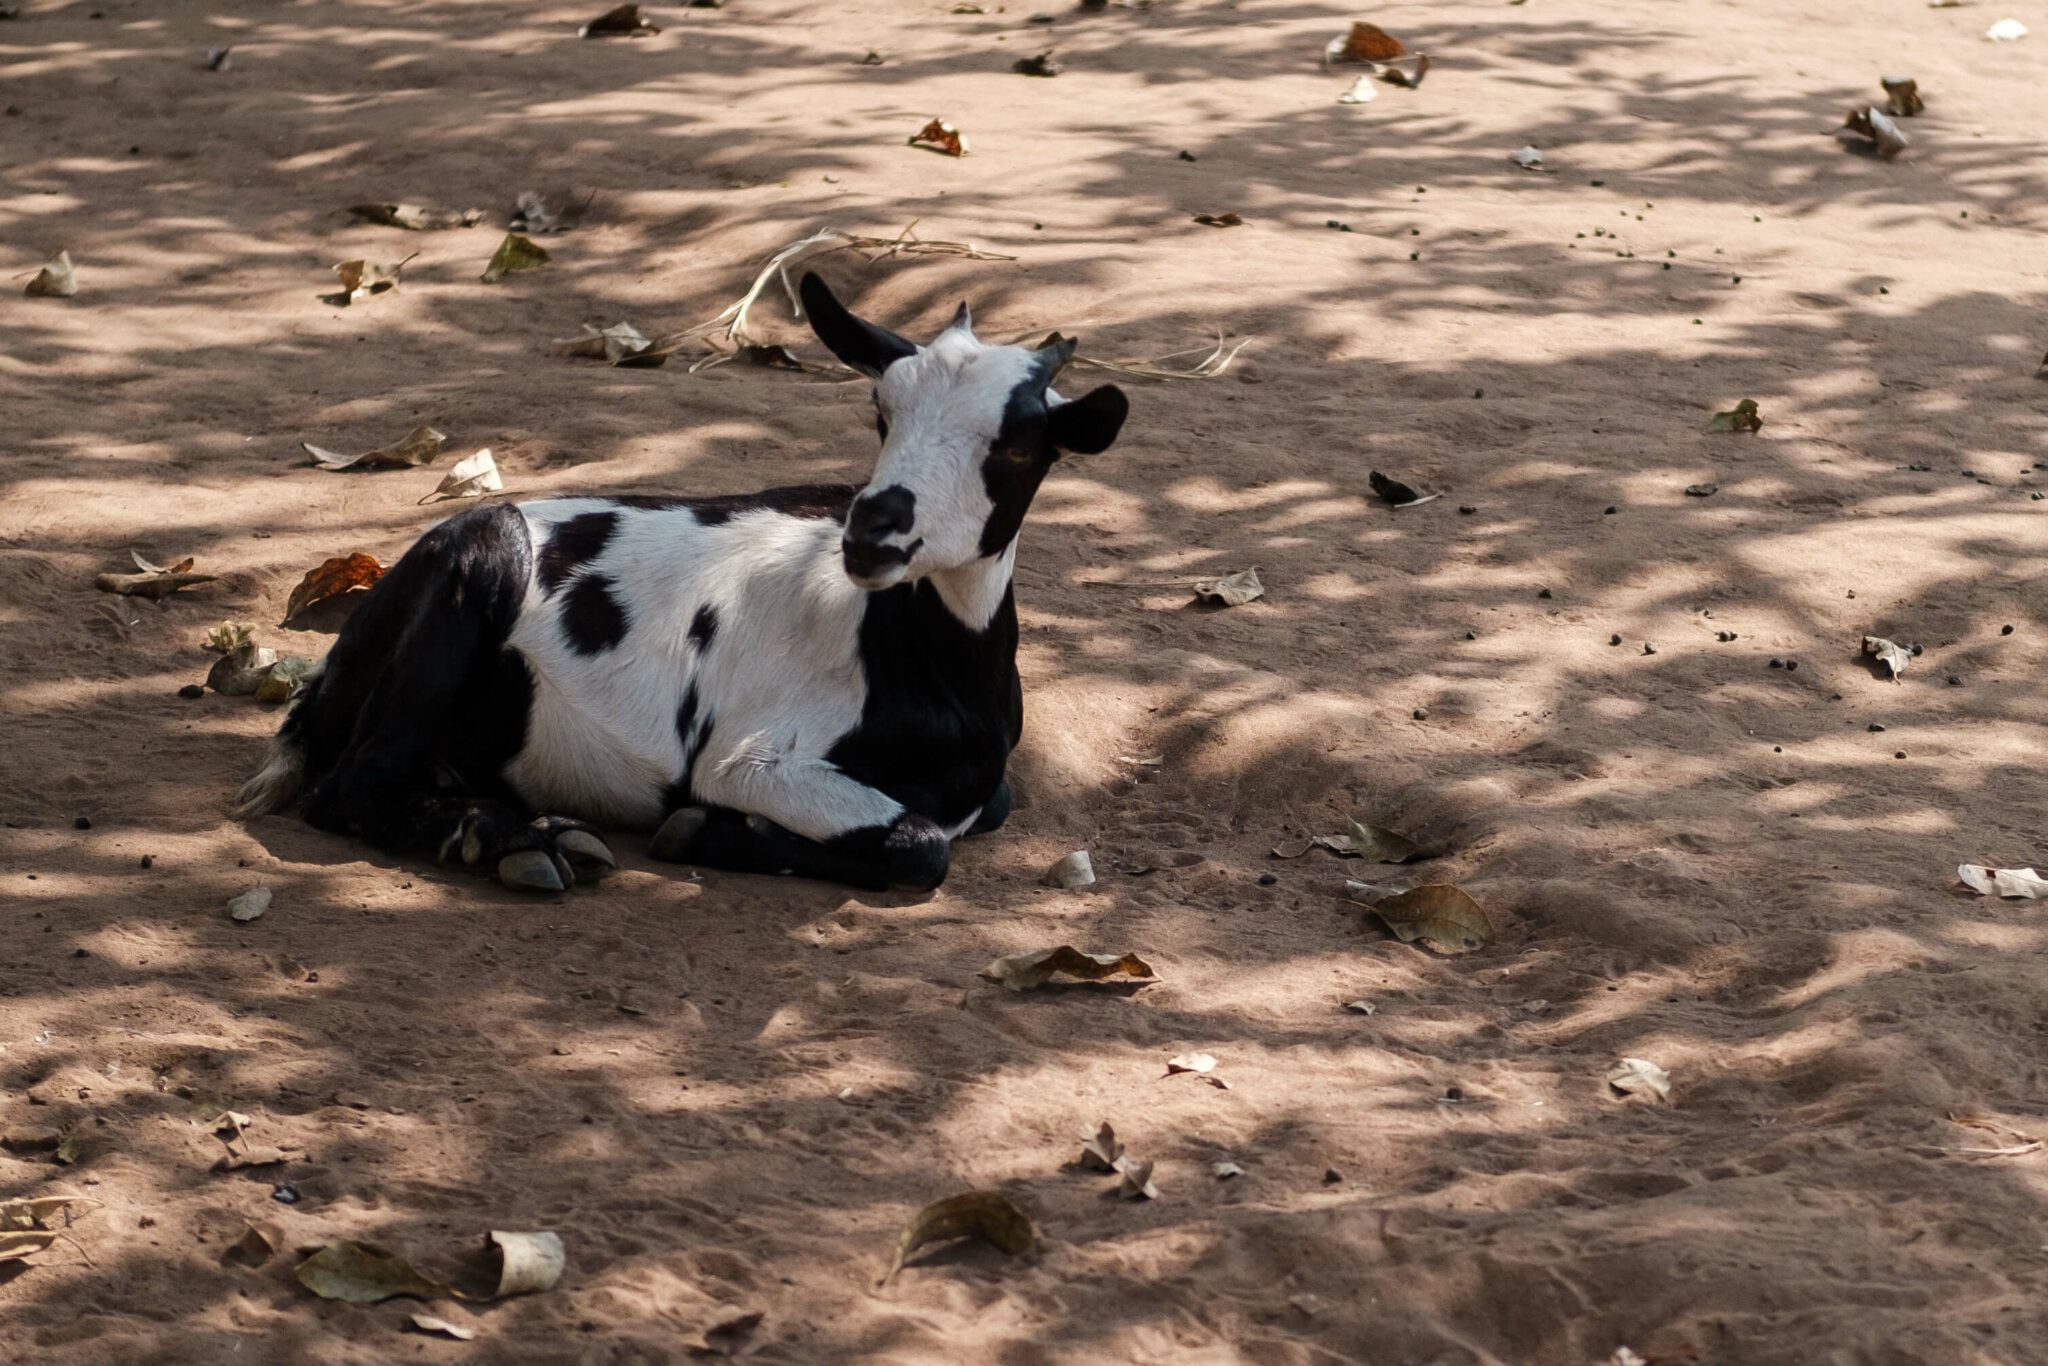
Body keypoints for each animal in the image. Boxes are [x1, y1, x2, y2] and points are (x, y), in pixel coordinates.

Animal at [239, 274, 1138, 897]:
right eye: (881, 415)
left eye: (1017, 445)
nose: (873, 529)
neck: (914, 667)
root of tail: (328, 676)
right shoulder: (752, 760)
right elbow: (922, 846)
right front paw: (703, 833)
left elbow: (986, 810)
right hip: (474, 566)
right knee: (352, 784)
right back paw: (522, 844)